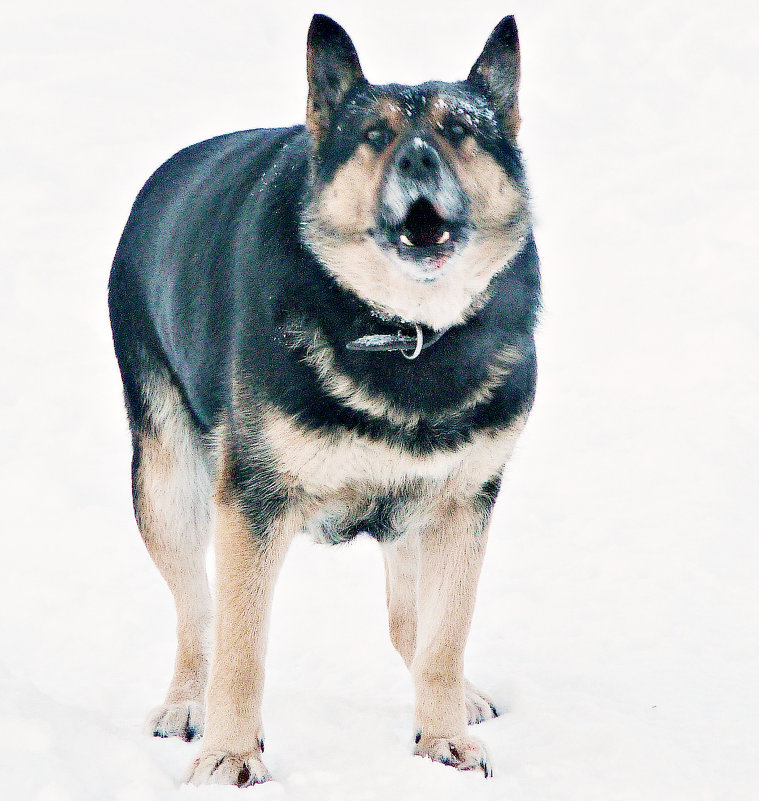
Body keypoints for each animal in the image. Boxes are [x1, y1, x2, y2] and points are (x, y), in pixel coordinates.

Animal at [110, 12, 544, 784]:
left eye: (459, 130)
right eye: (373, 135)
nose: (418, 160)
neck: (405, 332)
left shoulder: (463, 503)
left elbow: (443, 637)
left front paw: (442, 740)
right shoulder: (251, 503)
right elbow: (241, 646)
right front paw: (229, 754)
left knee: (408, 622)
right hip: (167, 483)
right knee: (198, 611)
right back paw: (187, 703)